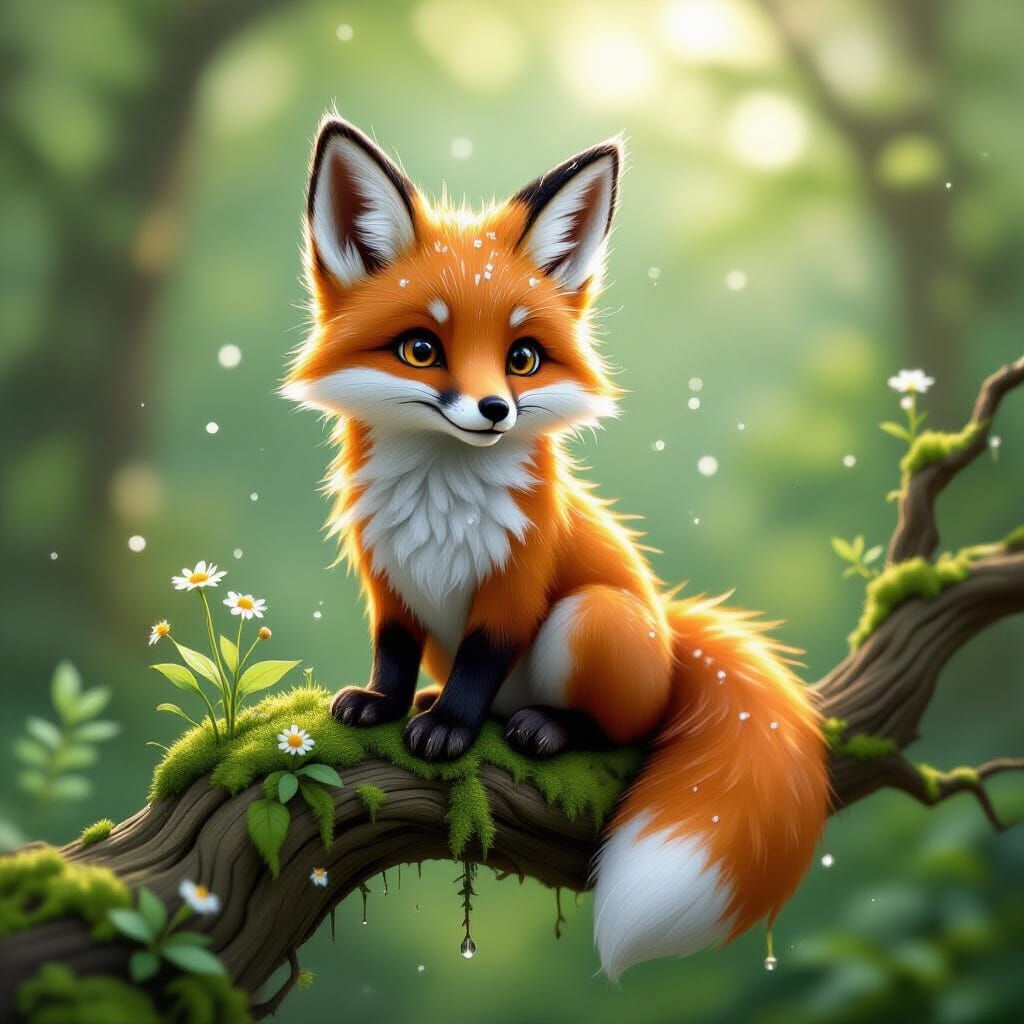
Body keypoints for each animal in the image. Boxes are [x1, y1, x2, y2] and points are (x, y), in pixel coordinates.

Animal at [283, 116, 830, 979]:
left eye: (523, 358)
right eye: (420, 349)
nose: (495, 410)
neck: (441, 501)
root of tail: (671, 633)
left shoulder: (516, 582)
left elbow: (482, 658)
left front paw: (448, 731)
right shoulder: (389, 578)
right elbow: (393, 653)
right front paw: (387, 705)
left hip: (594, 618)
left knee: (625, 731)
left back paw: (544, 728)